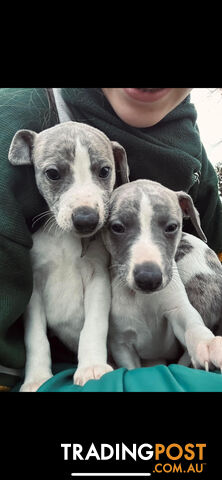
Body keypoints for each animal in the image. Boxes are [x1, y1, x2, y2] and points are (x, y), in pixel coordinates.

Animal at [8, 120, 129, 390]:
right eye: (53, 173)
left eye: (105, 171)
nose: (86, 219)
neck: (64, 238)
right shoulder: (35, 288)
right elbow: (36, 338)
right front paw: (37, 379)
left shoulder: (97, 279)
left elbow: (93, 326)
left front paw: (92, 367)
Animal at [103, 180, 222, 372]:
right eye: (117, 227)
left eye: (172, 227)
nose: (148, 278)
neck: (142, 299)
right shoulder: (121, 344)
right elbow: (131, 368)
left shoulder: (178, 310)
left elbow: (192, 325)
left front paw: (207, 344)